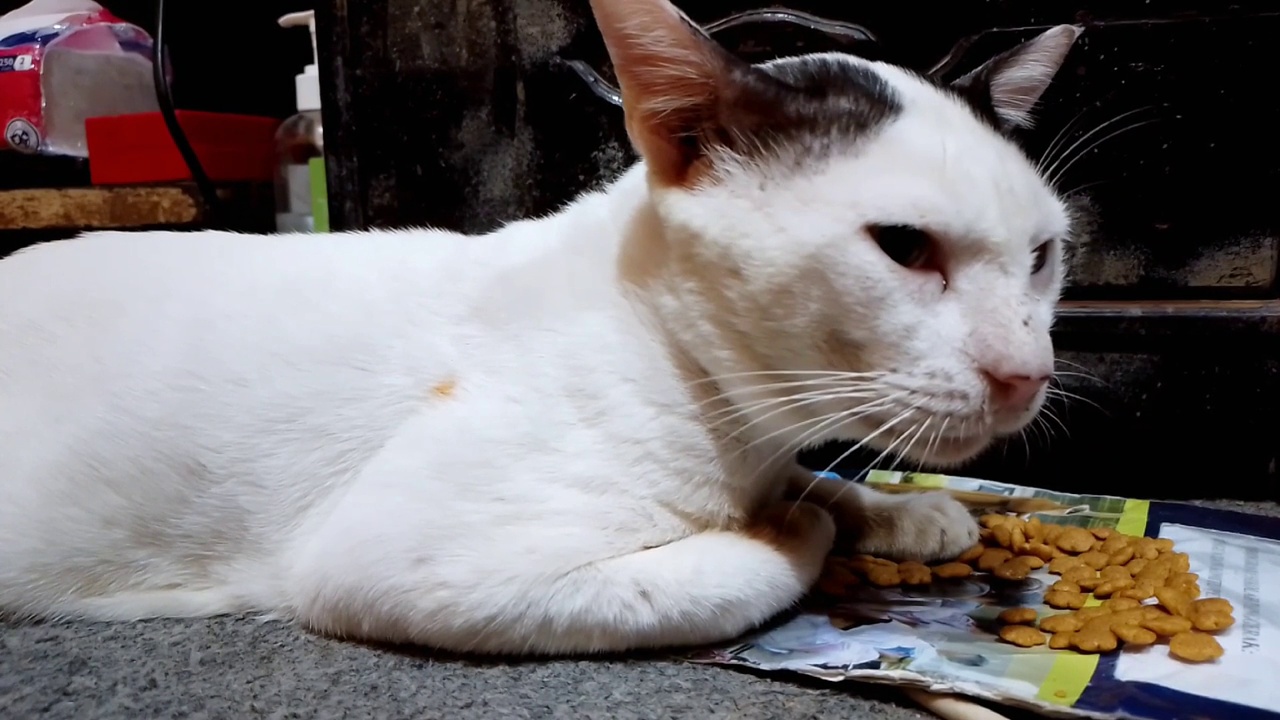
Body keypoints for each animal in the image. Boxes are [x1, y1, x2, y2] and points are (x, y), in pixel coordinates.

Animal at [0, 0, 1080, 653]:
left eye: (1041, 255)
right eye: (903, 246)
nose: (1026, 372)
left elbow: (822, 482)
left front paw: (899, 512)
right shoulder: (395, 563)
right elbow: (745, 567)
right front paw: (795, 526)